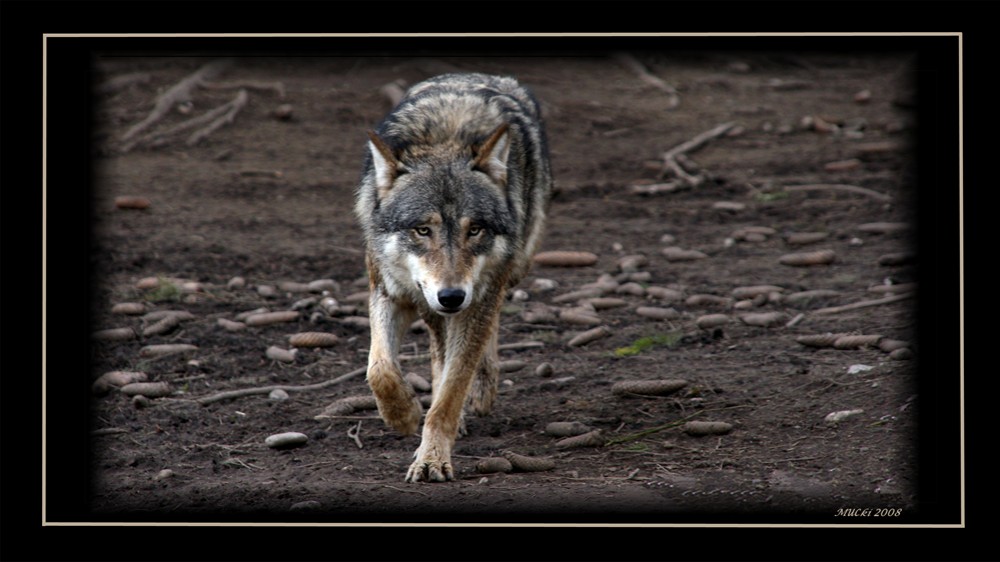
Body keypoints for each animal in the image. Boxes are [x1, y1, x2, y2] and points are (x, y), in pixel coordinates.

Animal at [354, 72, 556, 480]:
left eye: (474, 229)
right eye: (422, 230)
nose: (451, 296)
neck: (444, 138)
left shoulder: (477, 300)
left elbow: (451, 391)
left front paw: (432, 458)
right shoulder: (389, 292)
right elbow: (380, 369)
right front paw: (403, 415)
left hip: (509, 272)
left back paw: (480, 388)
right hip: (428, 303)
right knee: (437, 348)